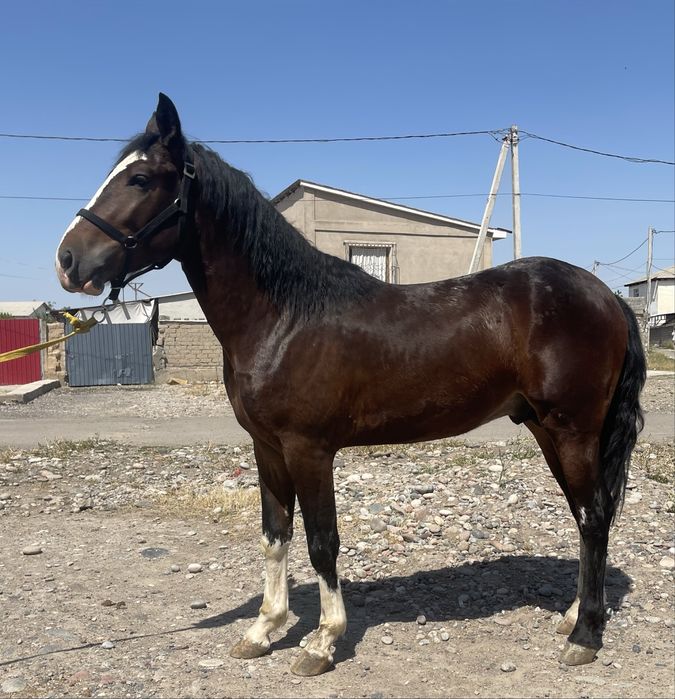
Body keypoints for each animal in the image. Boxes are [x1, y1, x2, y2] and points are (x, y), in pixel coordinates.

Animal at [55, 93, 646, 677]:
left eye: (140, 180)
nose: (67, 259)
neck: (284, 317)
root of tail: (606, 295)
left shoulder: (309, 449)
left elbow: (322, 542)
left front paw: (321, 641)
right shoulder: (267, 448)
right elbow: (275, 536)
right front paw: (263, 630)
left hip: (572, 430)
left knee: (593, 517)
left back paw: (585, 636)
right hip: (549, 430)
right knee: (587, 515)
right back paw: (572, 616)